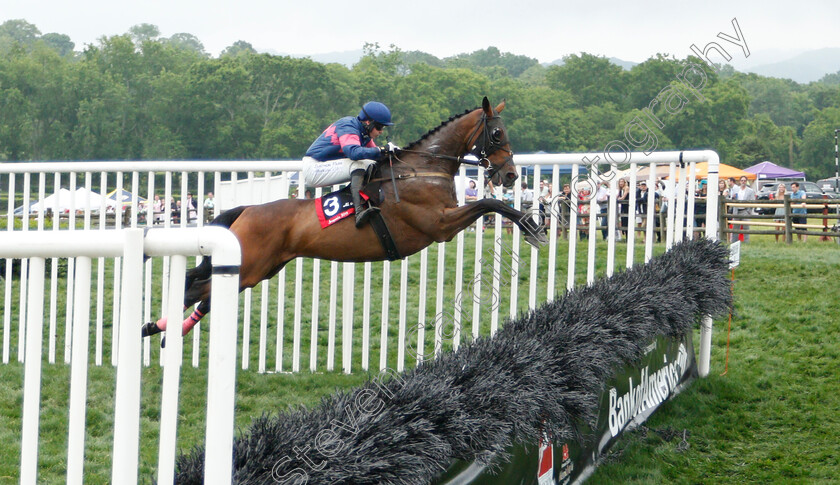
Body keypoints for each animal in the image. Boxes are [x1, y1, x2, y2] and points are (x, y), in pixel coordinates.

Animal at [143, 93, 552, 336]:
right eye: (497, 134)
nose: (511, 175)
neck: (423, 168)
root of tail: (248, 210)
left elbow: (491, 204)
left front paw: (532, 224)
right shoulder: (439, 225)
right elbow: (491, 204)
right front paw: (533, 227)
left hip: (261, 268)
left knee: (197, 289)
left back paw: (156, 328)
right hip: (250, 267)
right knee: (201, 293)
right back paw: (161, 329)